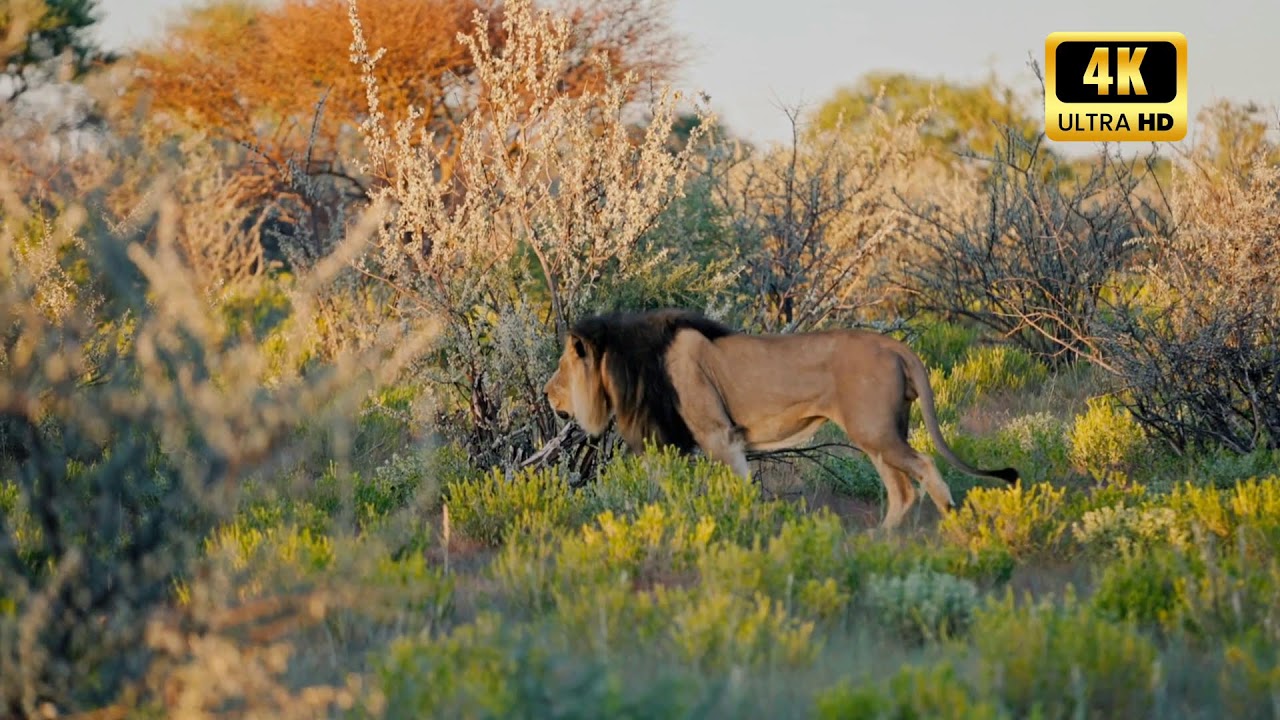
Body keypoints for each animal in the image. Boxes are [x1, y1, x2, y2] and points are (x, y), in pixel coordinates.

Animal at [543, 308, 1019, 529]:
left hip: (876, 432)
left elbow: (737, 489)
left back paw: (952, 525)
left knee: (926, 468)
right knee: (902, 490)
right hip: (879, 435)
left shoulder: (720, 437)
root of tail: (894, 344)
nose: (547, 394)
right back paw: (880, 541)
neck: (633, 364)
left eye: (562, 367)